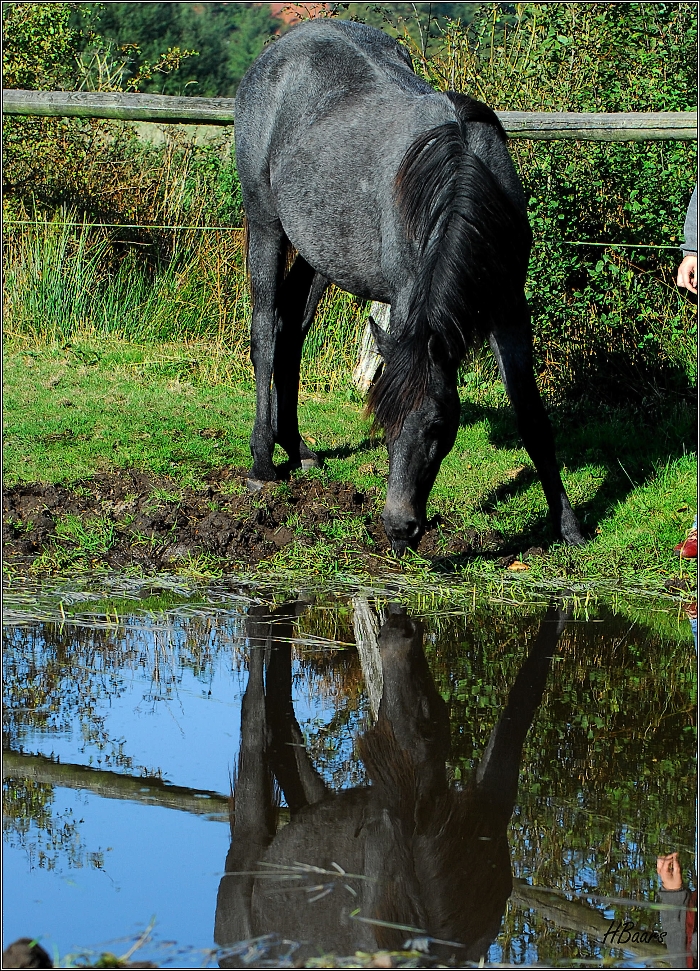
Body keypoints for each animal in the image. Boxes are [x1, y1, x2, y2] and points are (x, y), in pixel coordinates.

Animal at [232, 19, 584, 556]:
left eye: (440, 427)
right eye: (382, 423)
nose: (398, 529)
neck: (459, 177)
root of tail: (278, 51)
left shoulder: (508, 305)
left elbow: (530, 412)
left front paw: (568, 526)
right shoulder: (403, 298)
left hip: (318, 252)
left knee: (292, 330)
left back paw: (297, 447)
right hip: (267, 225)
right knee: (266, 333)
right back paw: (262, 463)